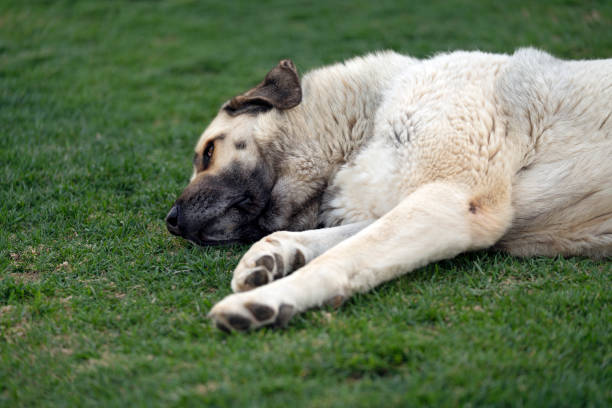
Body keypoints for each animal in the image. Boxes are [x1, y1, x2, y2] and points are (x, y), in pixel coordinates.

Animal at [165, 50, 612, 332]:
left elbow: (338, 257)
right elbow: (330, 240)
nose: (170, 221)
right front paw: (272, 256)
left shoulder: (450, 201)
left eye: (208, 152)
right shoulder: (412, 202)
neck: (364, 127)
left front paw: (270, 300)